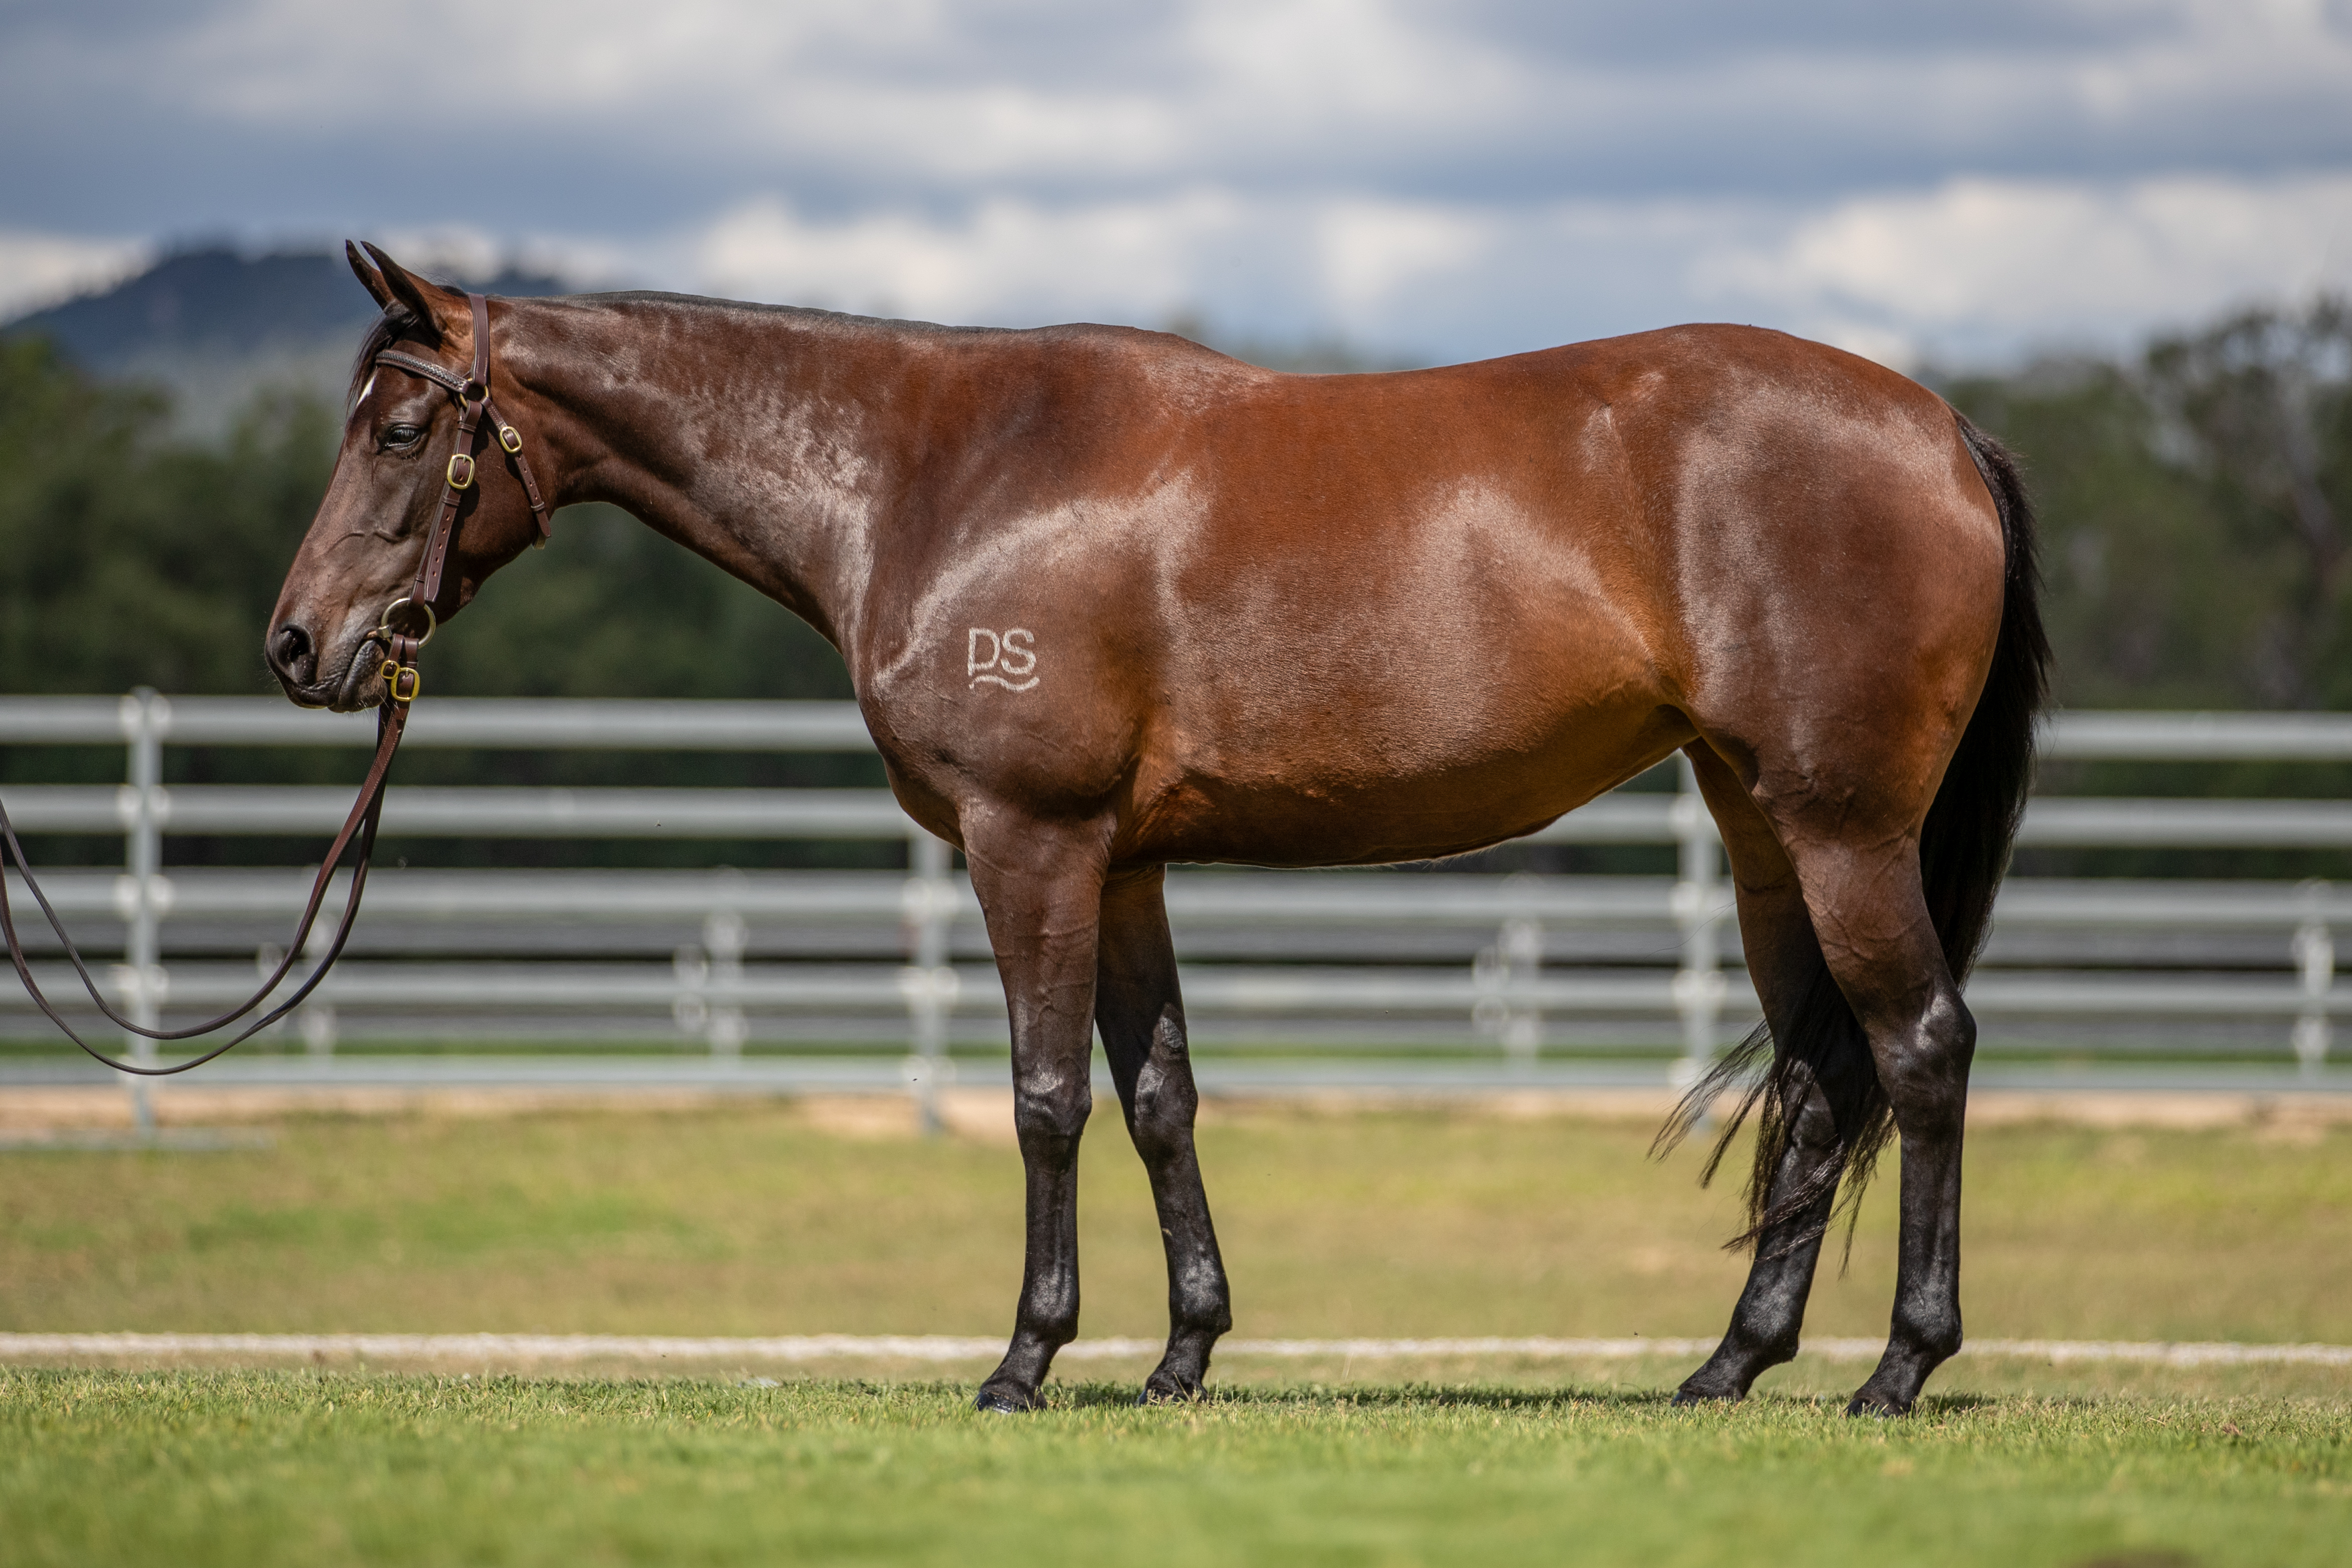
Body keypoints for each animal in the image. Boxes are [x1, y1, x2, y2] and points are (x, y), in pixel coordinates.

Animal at [266, 242, 2047, 1416]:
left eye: (401, 430)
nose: (298, 645)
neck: (929, 471)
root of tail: (1938, 429)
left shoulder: (1029, 840)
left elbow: (1046, 1099)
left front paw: (1023, 1358)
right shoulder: (1119, 865)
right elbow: (1157, 1098)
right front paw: (1181, 1353)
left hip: (1840, 830)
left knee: (1921, 1049)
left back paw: (1896, 1368)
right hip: (1761, 837)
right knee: (1817, 1078)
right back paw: (1727, 1363)